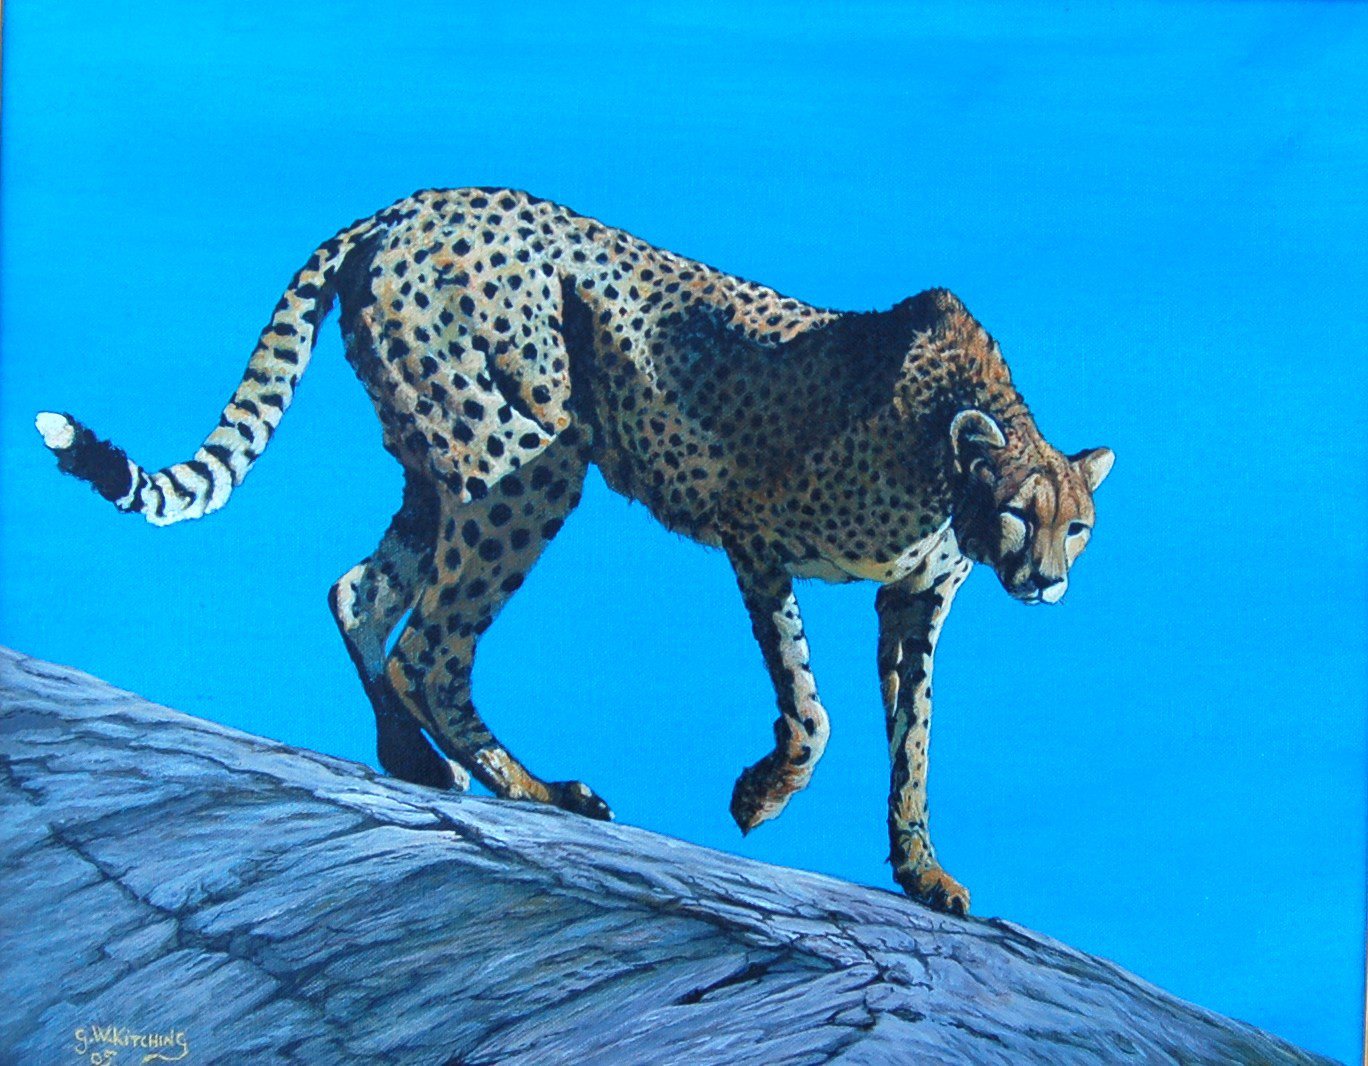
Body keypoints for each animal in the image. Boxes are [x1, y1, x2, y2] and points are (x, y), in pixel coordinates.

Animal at [36, 186, 1113, 915]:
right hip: (528, 460)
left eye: (1077, 526)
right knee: (430, 644)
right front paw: (761, 796)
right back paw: (533, 786)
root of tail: (403, 205)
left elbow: (914, 735)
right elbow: (811, 708)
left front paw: (922, 870)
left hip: (445, 466)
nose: (1048, 582)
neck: (943, 456)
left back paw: (412, 758)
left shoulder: (913, 602)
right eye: (1019, 513)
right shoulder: (755, 534)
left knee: (361, 592)